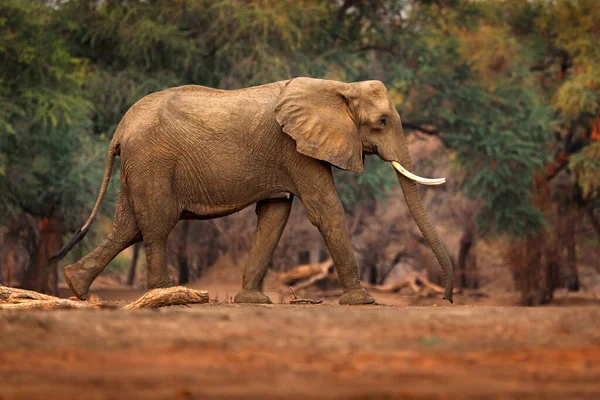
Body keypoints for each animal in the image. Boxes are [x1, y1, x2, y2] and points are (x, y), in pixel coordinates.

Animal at [50, 76, 454, 304]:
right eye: (382, 122)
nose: (448, 299)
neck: (339, 87)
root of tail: (121, 126)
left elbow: (275, 213)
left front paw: (252, 301)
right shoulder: (294, 149)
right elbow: (326, 210)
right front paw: (363, 302)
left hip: (136, 165)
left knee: (128, 226)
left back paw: (75, 285)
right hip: (152, 161)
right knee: (157, 225)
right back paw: (168, 295)